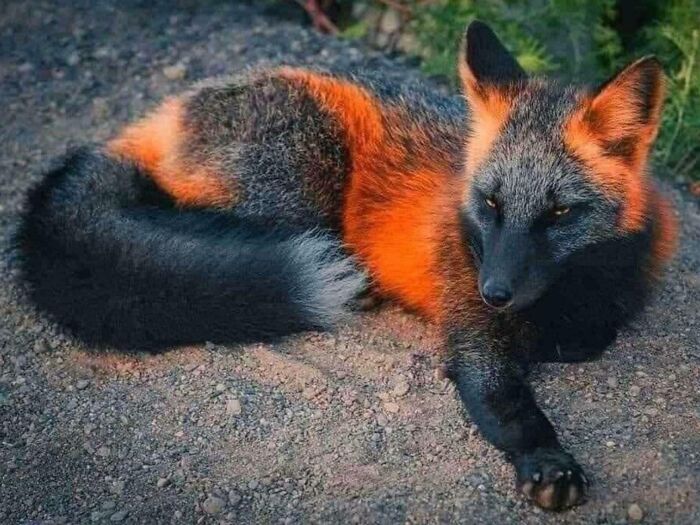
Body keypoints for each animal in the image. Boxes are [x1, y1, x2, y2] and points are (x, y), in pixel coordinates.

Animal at [17, 21, 677, 511]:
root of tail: (172, 107)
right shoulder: (471, 331)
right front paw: (547, 461)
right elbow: (509, 404)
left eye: (560, 212)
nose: (494, 291)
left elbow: (591, 335)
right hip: (302, 183)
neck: (568, 294)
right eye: (490, 204)